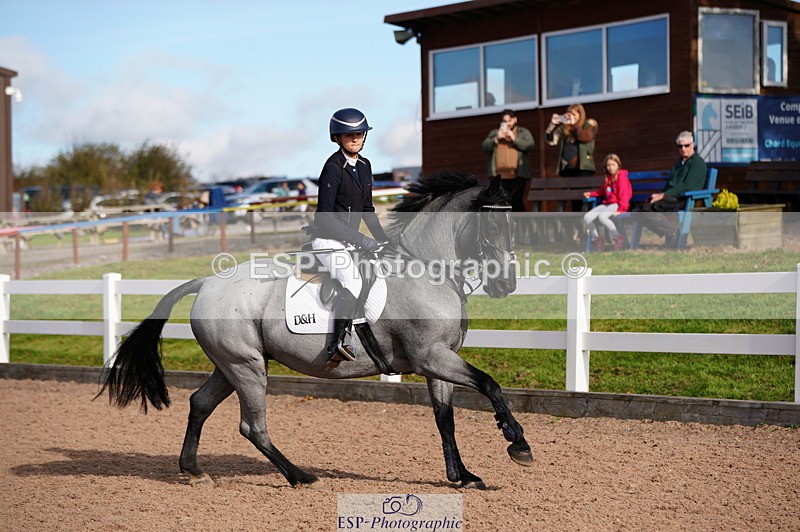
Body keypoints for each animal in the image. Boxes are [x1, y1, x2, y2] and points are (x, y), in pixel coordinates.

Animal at [98, 172, 534, 489]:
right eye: (491, 227)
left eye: (514, 225)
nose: (506, 284)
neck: (427, 270)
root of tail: (207, 283)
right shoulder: (432, 357)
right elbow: (490, 384)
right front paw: (518, 444)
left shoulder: (437, 361)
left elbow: (445, 417)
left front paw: (462, 476)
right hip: (247, 368)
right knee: (252, 426)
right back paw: (300, 476)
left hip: (231, 365)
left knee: (200, 404)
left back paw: (194, 470)